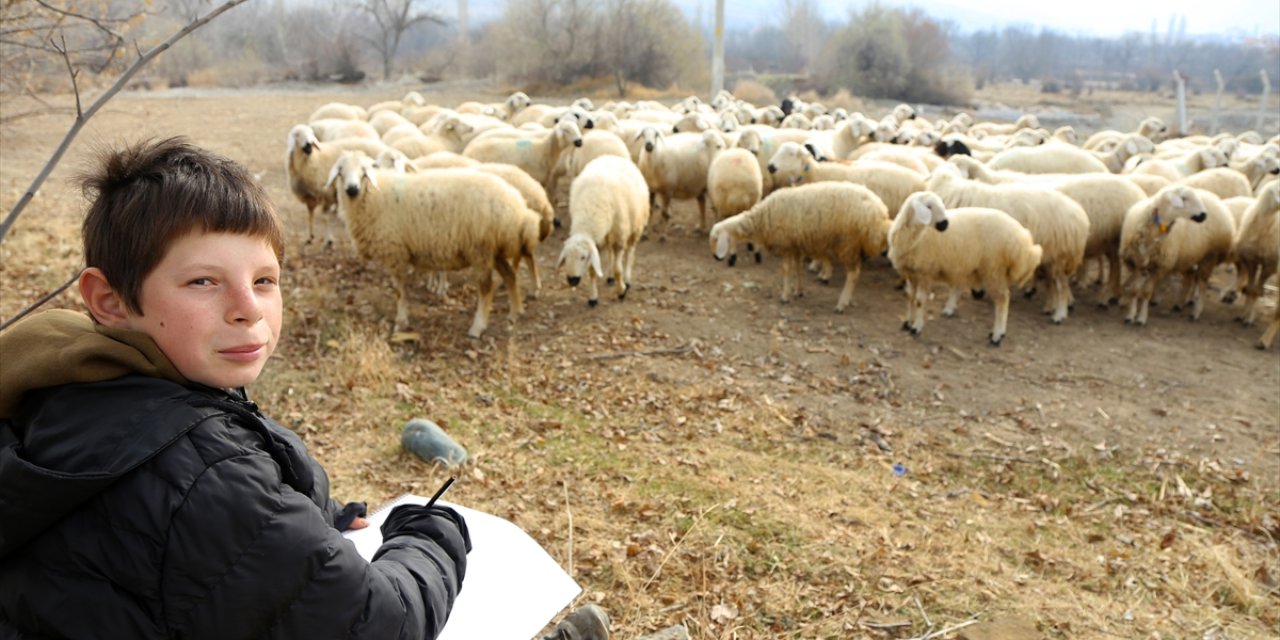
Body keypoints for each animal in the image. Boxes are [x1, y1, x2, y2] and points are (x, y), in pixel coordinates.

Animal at [325, 152, 540, 337]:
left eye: (364, 171)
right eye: (340, 170)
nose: (352, 189)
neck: (373, 195)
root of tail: (518, 207)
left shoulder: (395, 251)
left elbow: (399, 290)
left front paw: (401, 321)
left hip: (481, 248)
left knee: (487, 287)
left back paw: (478, 327)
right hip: (494, 251)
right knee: (510, 276)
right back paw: (514, 313)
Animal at [558, 154, 650, 304]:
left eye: (583, 257)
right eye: (566, 256)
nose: (572, 280)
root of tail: (612, 156)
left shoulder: (619, 238)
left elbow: (618, 269)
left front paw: (621, 291)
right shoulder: (598, 242)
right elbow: (592, 270)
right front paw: (593, 297)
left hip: (635, 226)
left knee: (630, 252)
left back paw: (627, 279)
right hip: (608, 234)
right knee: (610, 252)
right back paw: (610, 276)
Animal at [711, 181, 890, 313]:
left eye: (714, 239)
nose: (715, 258)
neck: (761, 218)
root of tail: (880, 214)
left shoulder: (786, 244)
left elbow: (786, 270)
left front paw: (785, 296)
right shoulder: (796, 245)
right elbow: (798, 268)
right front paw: (799, 290)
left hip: (848, 244)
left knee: (853, 274)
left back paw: (841, 304)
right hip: (852, 246)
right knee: (855, 274)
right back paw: (847, 300)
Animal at [890, 190, 1039, 345]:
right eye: (929, 206)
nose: (944, 224)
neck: (915, 237)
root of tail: (1020, 236)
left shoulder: (925, 272)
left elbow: (919, 301)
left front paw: (916, 327)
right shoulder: (911, 273)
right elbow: (909, 297)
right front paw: (907, 322)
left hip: (994, 268)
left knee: (1002, 299)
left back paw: (997, 334)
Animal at [931, 165, 1090, 325]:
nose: (977, 295)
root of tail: (1080, 217)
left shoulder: (965, 250)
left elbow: (957, 284)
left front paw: (950, 306)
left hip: (1059, 255)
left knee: (1061, 285)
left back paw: (1060, 314)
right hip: (1051, 257)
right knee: (1054, 283)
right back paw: (1053, 307)